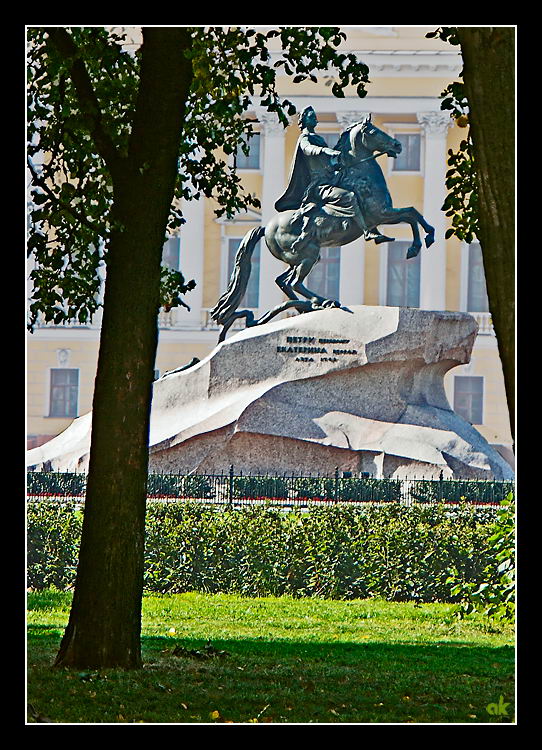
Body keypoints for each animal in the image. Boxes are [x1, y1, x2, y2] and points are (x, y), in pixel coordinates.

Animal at [210, 116, 436, 342]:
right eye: (373, 132)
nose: (397, 145)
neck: (360, 175)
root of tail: (266, 227)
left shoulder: (384, 215)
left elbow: (414, 214)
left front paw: (426, 238)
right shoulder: (381, 213)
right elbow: (411, 214)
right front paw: (416, 245)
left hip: (303, 256)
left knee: (283, 281)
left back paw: (310, 306)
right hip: (308, 254)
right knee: (294, 283)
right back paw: (321, 303)